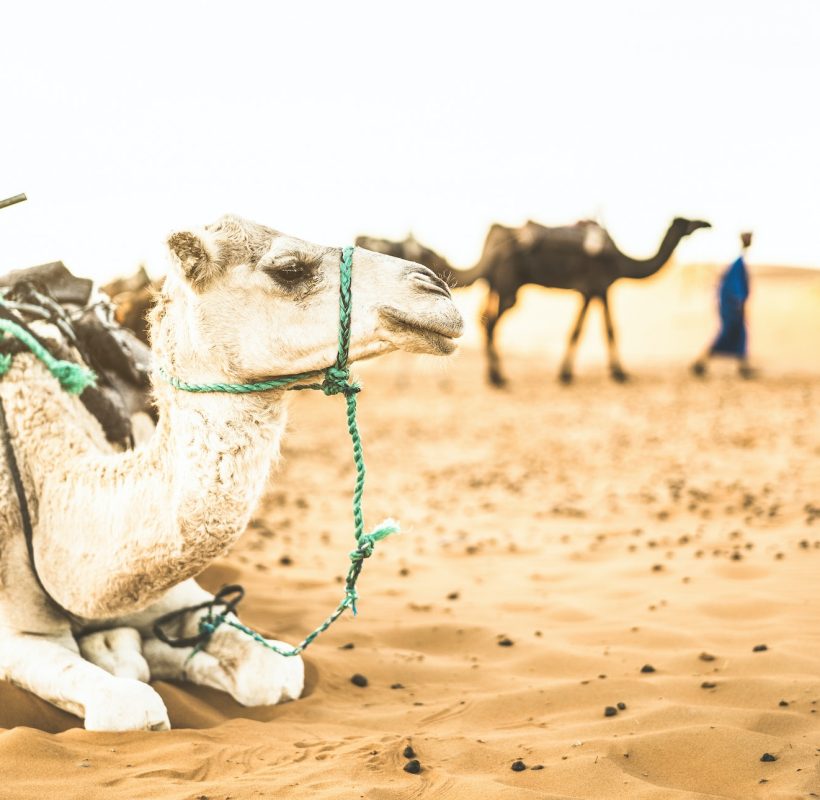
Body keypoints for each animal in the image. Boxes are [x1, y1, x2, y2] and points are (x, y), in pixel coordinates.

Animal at [0, 212, 462, 732]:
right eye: (289, 268)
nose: (436, 290)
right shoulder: (18, 634)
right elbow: (131, 708)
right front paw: (122, 653)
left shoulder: (177, 595)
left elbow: (276, 672)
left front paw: (140, 649)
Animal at [478, 216, 708, 384]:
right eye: (688, 222)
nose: (706, 224)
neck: (622, 262)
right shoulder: (597, 287)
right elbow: (594, 330)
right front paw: (617, 374)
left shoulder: (595, 291)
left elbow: (597, 329)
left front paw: (578, 373)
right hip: (509, 286)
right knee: (491, 324)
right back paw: (497, 378)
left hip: (497, 285)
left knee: (485, 320)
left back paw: (494, 375)